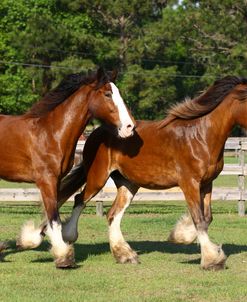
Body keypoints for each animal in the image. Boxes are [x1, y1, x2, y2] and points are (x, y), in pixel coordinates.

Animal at [0, 68, 135, 266]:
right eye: (107, 94)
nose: (129, 127)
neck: (51, 134)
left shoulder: (56, 181)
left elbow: (54, 209)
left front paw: (29, 240)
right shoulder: (46, 181)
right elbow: (54, 217)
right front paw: (64, 256)